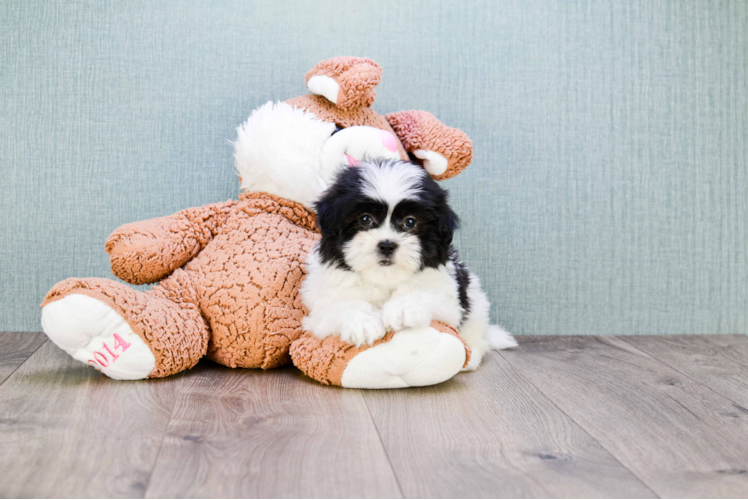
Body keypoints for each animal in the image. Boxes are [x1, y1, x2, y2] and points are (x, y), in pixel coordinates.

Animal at [300, 158, 516, 370]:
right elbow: (343, 303)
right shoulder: (321, 305)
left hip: (475, 302)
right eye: (365, 219)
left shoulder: (448, 299)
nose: (387, 244)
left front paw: (402, 310)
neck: (384, 278)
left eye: (410, 222)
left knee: (477, 335)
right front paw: (363, 324)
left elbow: (422, 292)